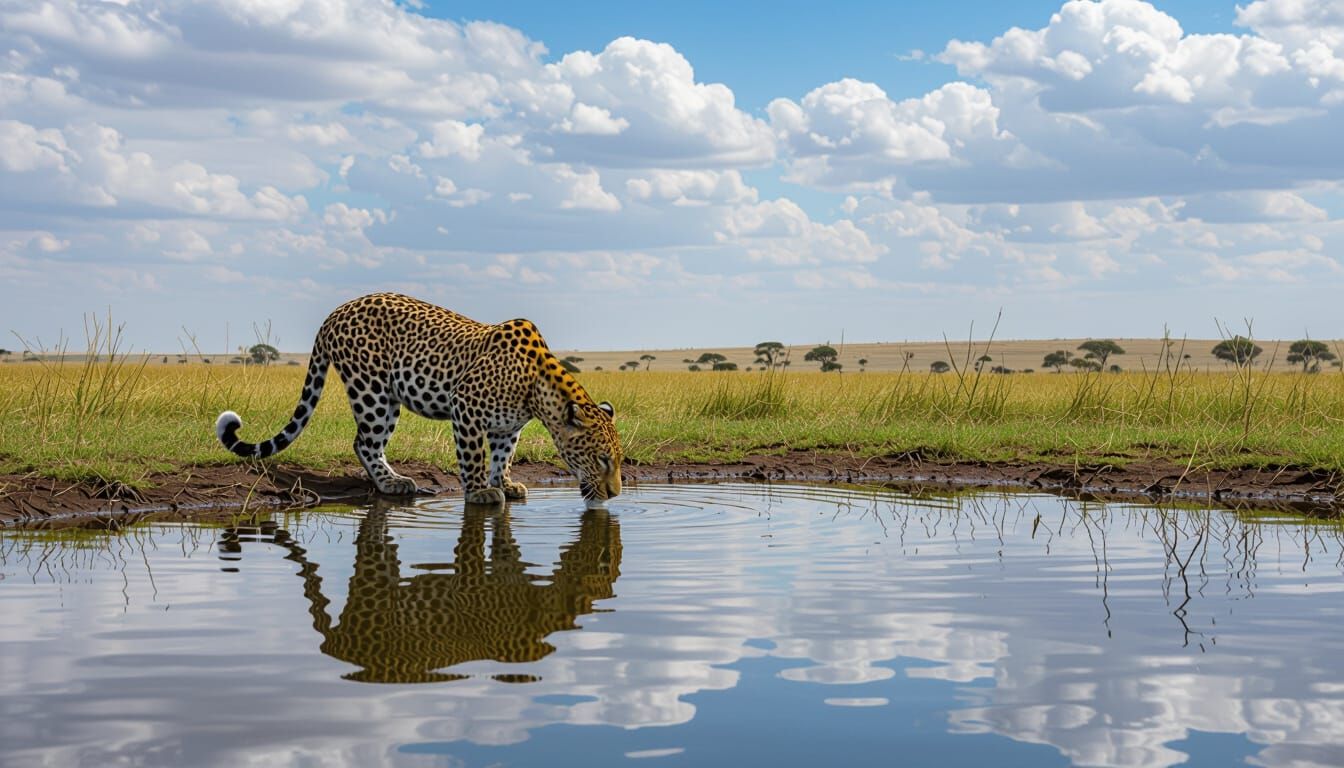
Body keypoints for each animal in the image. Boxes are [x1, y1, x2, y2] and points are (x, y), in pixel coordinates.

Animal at [214, 292, 622, 507]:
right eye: (602, 459)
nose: (615, 494)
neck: (538, 392)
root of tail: (336, 312)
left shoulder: (508, 428)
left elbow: (502, 457)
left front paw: (505, 484)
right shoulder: (465, 406)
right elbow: (473, 457)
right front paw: (481, 492)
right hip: (373, 392)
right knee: (364, 442)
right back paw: (392, 483)